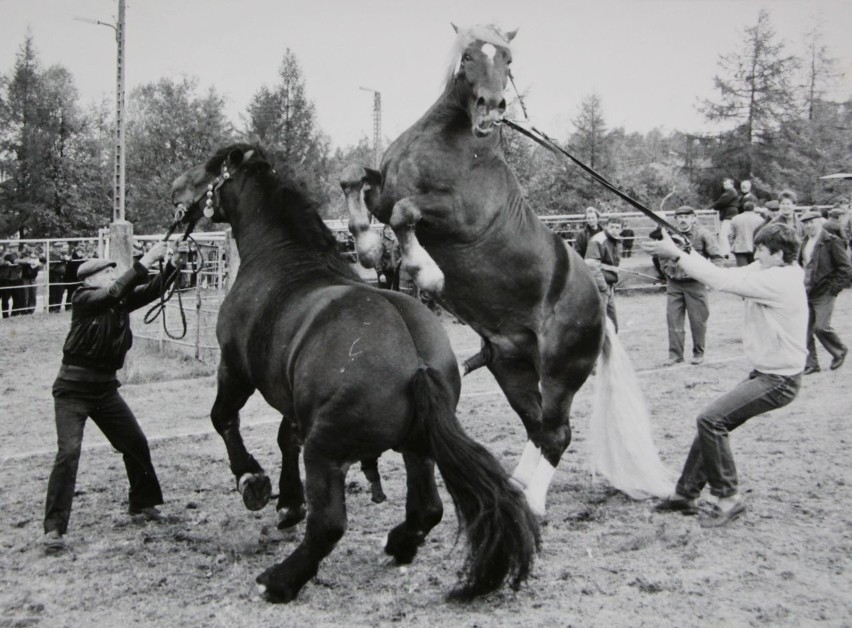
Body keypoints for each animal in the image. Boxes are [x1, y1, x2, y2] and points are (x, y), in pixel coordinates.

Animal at [170, 145, 536, 600]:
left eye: (209, 166)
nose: (175, 189)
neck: (283, 260)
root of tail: (416, 363)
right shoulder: (295, 403)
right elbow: (285, 438)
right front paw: (288, 503)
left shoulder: (234, 368)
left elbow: (223, 418)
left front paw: (252, 481)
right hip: (417, 447)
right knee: (427, 509)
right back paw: (397, 544)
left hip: (326, 453)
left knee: (329, 526)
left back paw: (280, 580)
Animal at [342, 24, 672, 516]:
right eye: (467, 58)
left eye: (509, 61)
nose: (492, 107)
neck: (455, 146)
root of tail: (598, 307)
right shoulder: (382, 191)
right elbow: (353, 180)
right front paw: (365, 244)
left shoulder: (457, 216)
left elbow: (405, 214)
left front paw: (427, 272)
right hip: (511, 368)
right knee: (536, 426)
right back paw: (516, 487)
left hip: (560, 371)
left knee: (556, 433)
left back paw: (533, 503)